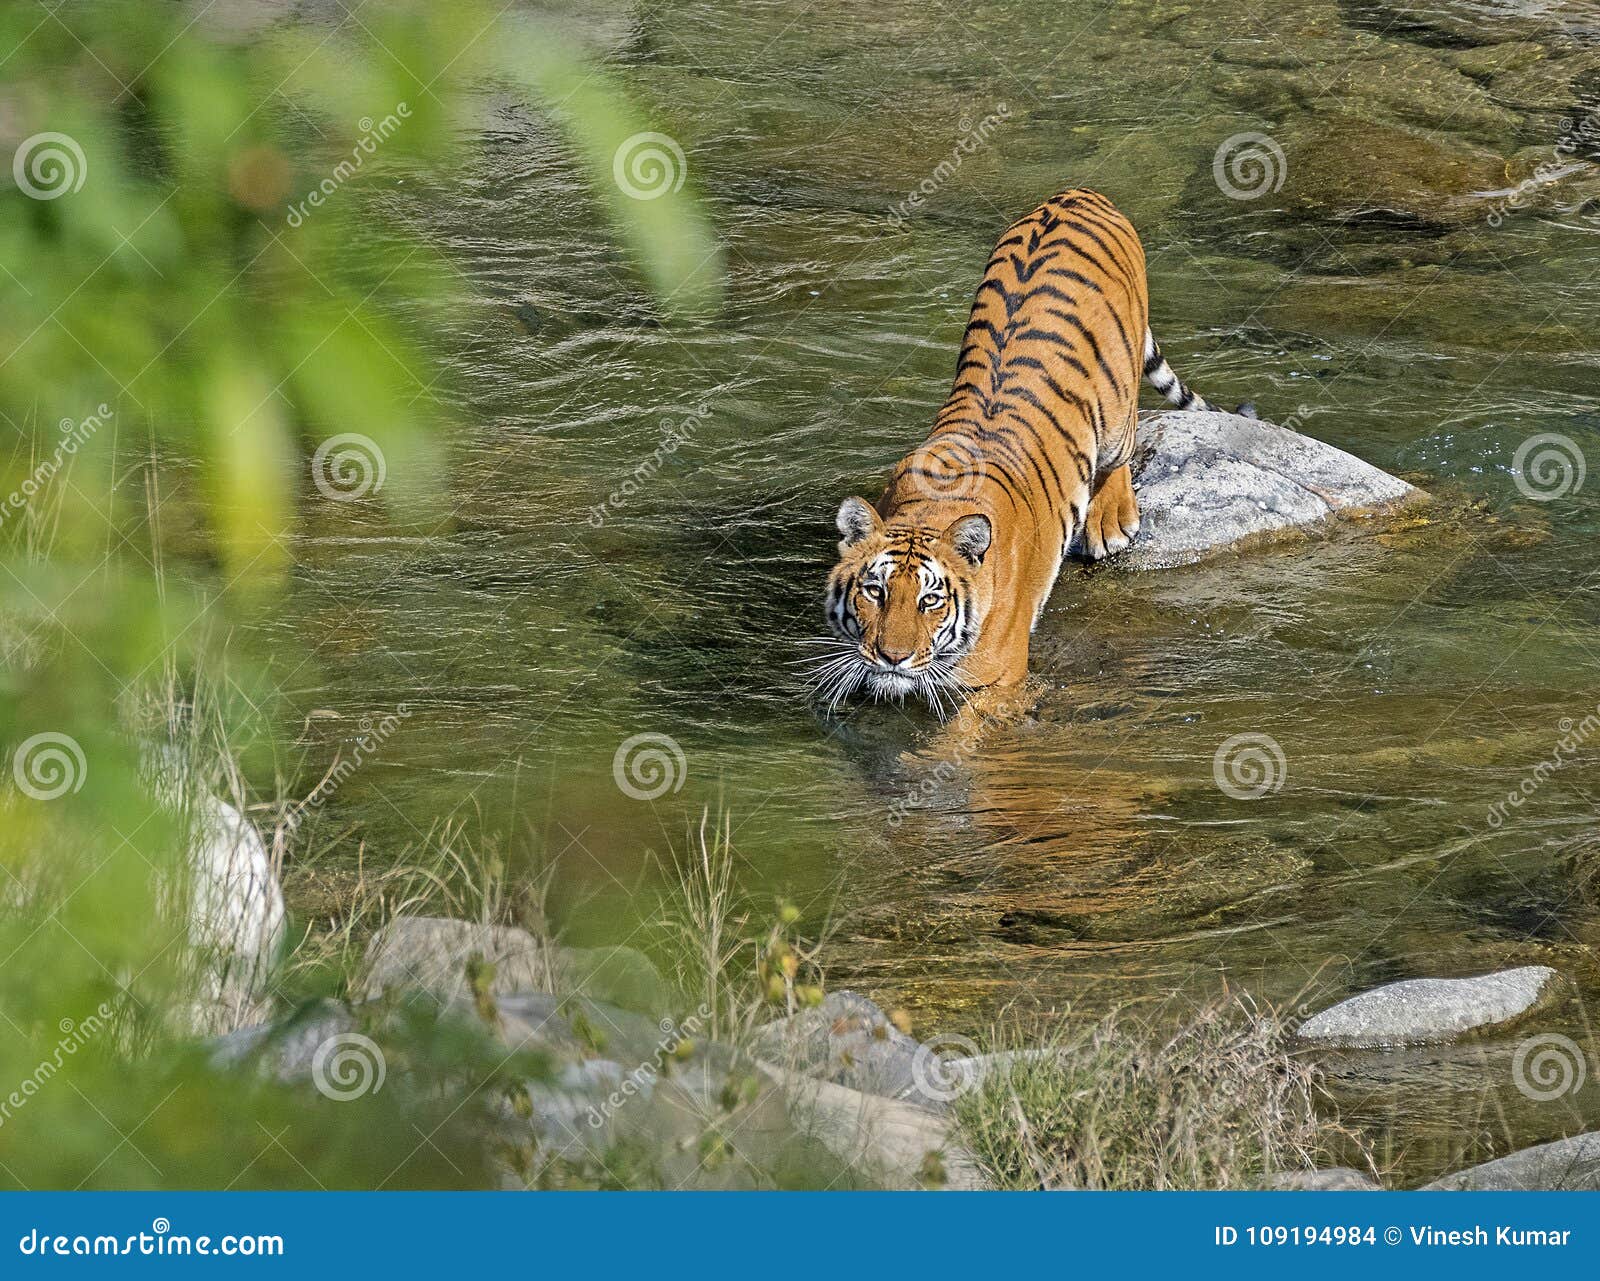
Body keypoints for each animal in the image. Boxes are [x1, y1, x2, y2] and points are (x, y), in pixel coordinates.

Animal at [812, 188, 1209, 713]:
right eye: (874, 592)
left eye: (930, 600)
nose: (892, 658)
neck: (928, 512)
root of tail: (1079, 192)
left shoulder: (997, 682)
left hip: (1117, 406)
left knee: (1121, 447)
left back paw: (1110, 522)